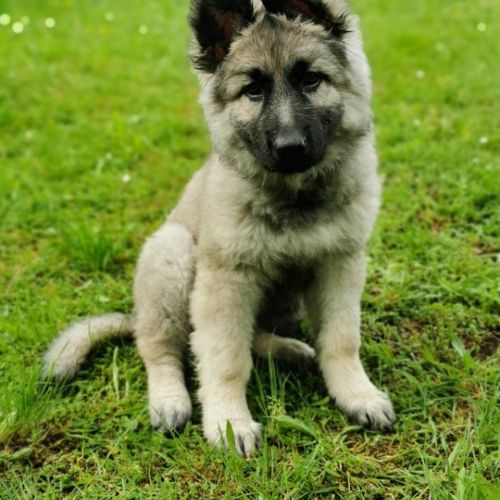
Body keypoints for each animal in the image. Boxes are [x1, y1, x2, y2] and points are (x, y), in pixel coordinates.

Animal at [44, 0, 395, 457]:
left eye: (311, 80)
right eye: (253, 90)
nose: (290, 148)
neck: (293, 194)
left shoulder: (339, 264)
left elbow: (341, 339)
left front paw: (357, 394)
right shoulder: (226, 281)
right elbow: (226, 357)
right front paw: (229, 421)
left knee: (248, 336)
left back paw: (289, 350)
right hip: (173, 255)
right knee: (162, 347)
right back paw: (169, 400)